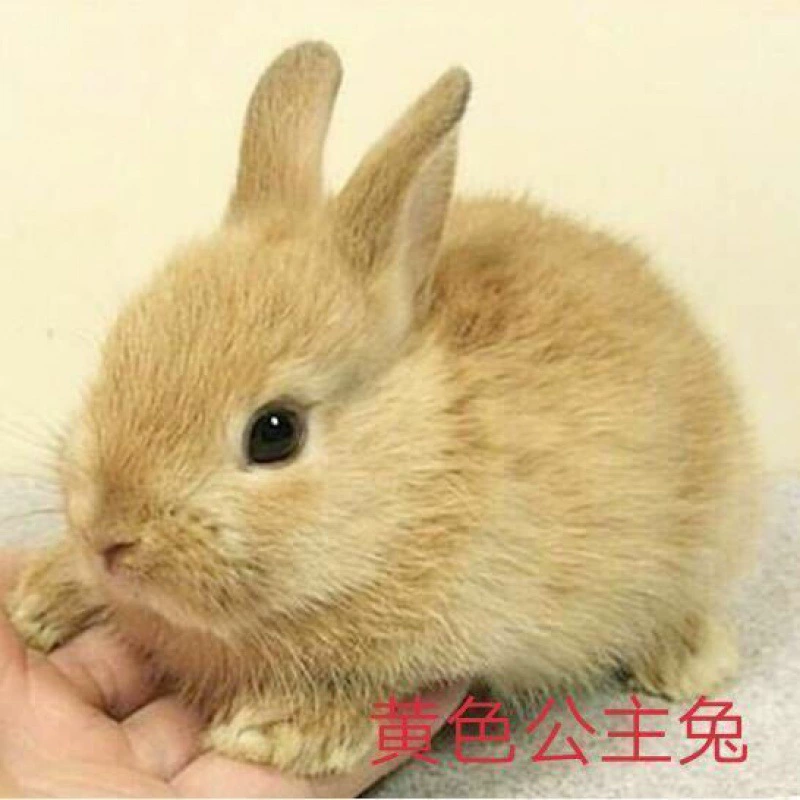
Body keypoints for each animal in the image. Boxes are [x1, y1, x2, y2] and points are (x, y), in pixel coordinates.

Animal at [5, 40, 759, 777]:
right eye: (117, 352)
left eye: (275, 433)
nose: (107, 536)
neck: (414, 470)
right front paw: (41, 602)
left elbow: (374, 685)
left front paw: (276, 733)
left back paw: (684, 664)